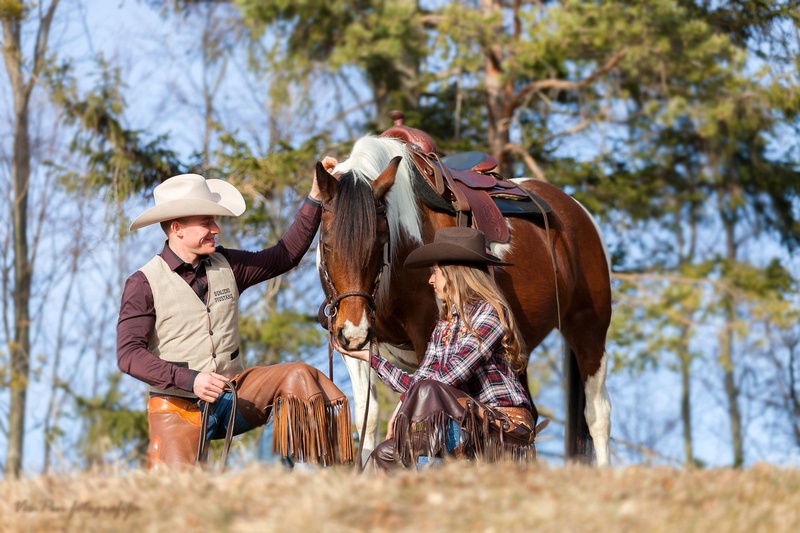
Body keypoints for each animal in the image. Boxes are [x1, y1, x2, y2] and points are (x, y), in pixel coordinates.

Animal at [315, 134, 612, 466]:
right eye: (326, 244)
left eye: (380, 242)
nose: (354, 331)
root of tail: (576, 211)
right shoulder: (355, 346)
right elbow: (368, 417)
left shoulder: (425, 334)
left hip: (589, 329)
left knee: (597, 414)